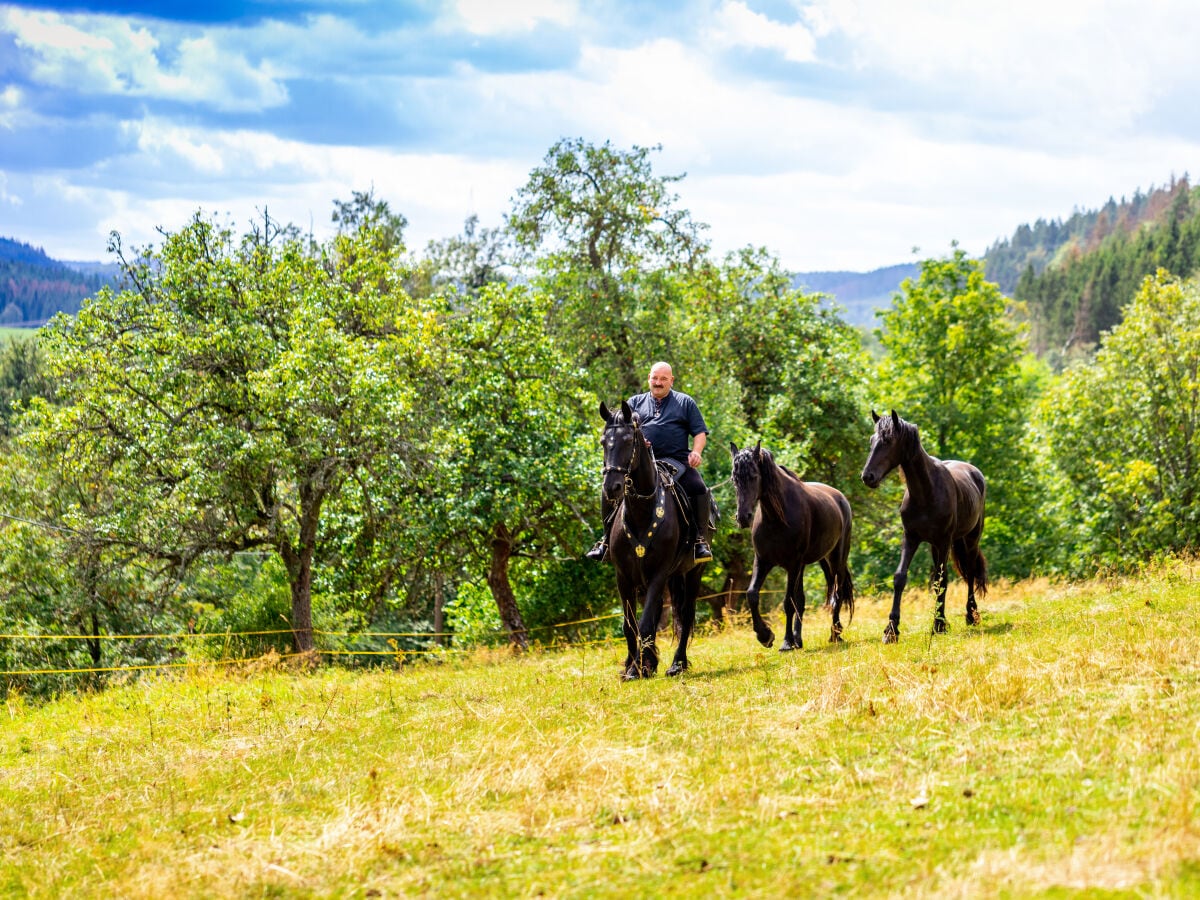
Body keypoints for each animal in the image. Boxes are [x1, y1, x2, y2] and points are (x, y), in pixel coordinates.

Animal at [600, 403, 710, 681]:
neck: (642, 510)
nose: (612, 487)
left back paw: (677, 664)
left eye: (629, 441)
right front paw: (634, 666)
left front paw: (638, 668)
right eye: (604, 442)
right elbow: (629, 625)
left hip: (693, 572)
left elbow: (646, 622)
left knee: (686, 615)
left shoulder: (659, 573)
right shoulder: (623, 576)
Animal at [724, 441, 859, 648]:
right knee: (802, 599)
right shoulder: (762, 561)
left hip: (836, 560)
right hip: (809, 564)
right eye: (734, 479)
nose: (743, 517)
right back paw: (799, 639)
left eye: (754, 476)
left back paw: (835, 634)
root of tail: (840, 498)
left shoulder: (792, 565)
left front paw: (786, 642)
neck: (776, 518)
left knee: (837, 594)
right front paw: (765, 635)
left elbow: (788, 603)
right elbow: (752, 594)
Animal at [859, 412, 988, 643]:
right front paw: (891, 629)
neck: (926, 492)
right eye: (872, 441)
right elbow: (900, 577)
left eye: (888, 441)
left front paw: (939, 624)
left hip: (971, 538)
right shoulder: (911, 538)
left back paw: (971, 615)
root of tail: (975, 472)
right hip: (936, 546)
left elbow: (941, 580)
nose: (867, 476)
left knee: (971, 571)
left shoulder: (944, 541)